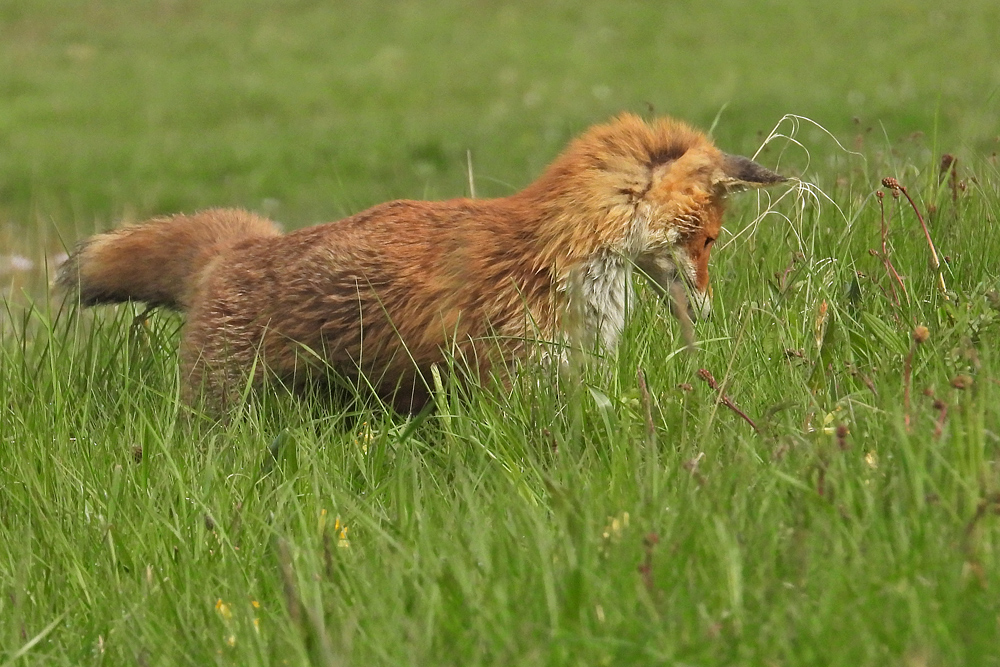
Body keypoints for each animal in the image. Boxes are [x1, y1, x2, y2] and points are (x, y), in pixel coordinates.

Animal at [56, 112, 788, 410]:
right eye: (710, 240)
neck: (556, 254)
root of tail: (237, 249)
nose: (710, 312)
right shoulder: (505, 381)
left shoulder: (563, 376)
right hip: (226, 410)